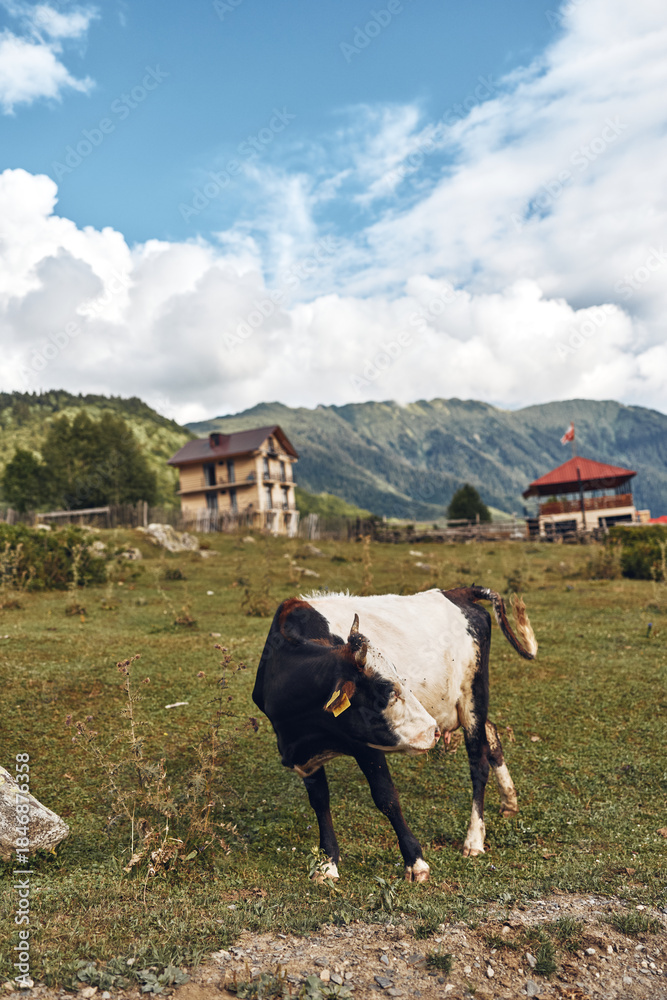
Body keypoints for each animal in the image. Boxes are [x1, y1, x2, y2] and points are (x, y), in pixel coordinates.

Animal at [252, 585, 537, 882]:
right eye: (387, 690)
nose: (432, 731)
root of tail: (457, 592)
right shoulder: (305, 757)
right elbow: (320, 801)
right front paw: (327, 863)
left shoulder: (366, 745)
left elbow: (386, 798)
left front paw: (415, 861)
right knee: (492, 735)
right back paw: (509, 801)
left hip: (473, 698)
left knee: (478, 765)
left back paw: (474, 839)